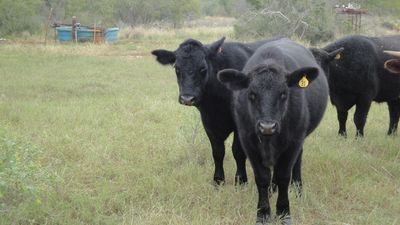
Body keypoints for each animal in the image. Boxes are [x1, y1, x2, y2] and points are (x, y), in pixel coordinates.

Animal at [150, 36, 284, 185]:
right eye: (177, 68)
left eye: (203, 68)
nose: (187, 98)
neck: (216, 105)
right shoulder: (208, 123)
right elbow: (218, 152)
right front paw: (218, 180)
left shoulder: (239, 124)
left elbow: (237, 151)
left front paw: (241, 180)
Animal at [219, 38, 328, 223]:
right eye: (252, 94)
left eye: (283, 94)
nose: (267, 126)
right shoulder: (248, 142)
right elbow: (262, 178)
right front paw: (263, 213)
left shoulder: (293, 142)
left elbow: (284, 176)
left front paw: (284, 213)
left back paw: (297, 188)